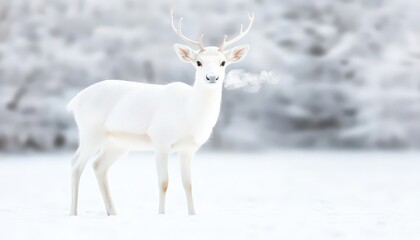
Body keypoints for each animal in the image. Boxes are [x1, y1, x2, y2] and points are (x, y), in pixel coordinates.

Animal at [67, 8, 254, 216]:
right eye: (198, 62)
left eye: (223, 62)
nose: (211, 77)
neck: (190, 116)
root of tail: (75, 101)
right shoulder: (161, 141)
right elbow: (164, 182)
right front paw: (161, 214)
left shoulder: (189, 149)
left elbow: (188, 184)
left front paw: (192, 214)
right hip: (90, 132)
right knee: (76, 165)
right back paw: (73, 212)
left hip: (117, 143)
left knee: (98, 165)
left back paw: (113, 212)